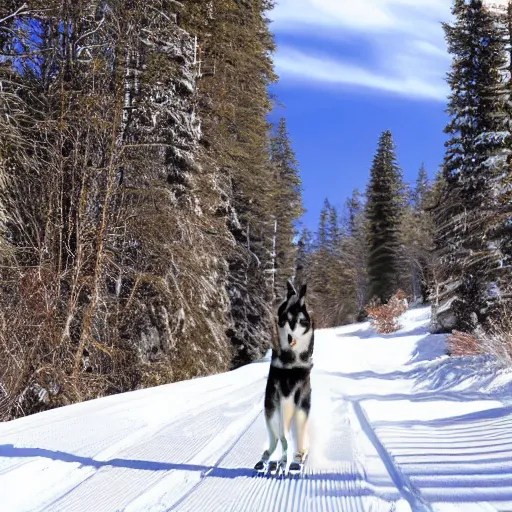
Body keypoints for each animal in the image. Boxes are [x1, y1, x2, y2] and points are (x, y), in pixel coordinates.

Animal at [254, 282, 314, 474]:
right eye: (281, 316)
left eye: (293, 318)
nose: (279, 323)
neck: (291, 360)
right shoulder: (277, 396)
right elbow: (282, 438)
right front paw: (279, 461)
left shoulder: (300, 399)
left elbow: (293, 438)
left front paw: (295, 460)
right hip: (271, 410)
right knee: (276, 439)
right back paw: (268, 459)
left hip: (296, 411)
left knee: (292, 437)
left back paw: (295, 458)